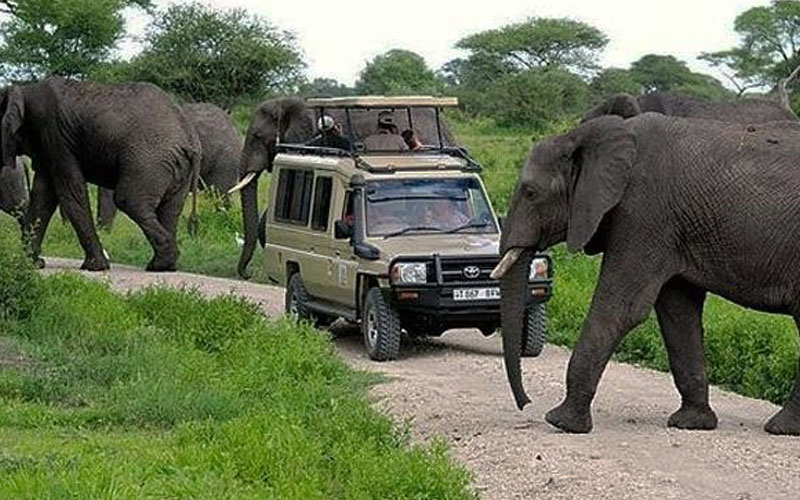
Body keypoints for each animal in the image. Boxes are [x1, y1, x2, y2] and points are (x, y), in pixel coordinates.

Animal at [0, 77, 200, 272]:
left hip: (149, 159)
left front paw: (94, 267)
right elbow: (43, 197)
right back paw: (164, 265)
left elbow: (70, 191)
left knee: (129, 200)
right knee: (170, 210)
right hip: (177, 168)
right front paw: (31, 264)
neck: (23, 90)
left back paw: (158, 264)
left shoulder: (54, 133)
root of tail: (190, 139)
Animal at [490, 112, 800, 434]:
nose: (525, 403)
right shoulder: (671, 227)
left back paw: (781, 427)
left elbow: (621, 308)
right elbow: (678, 312)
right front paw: (691, 423)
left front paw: (562, 422)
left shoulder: (643, 212)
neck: (586, 134)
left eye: (531, 193)